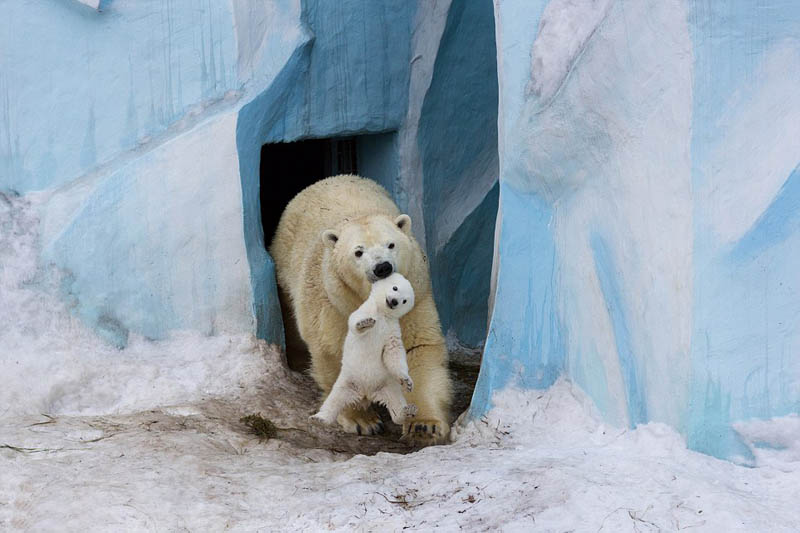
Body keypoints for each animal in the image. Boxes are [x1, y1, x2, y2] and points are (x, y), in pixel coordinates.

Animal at [272, 176, 454, 444]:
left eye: (391, 244)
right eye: (358, 252)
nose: (382, 267)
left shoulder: (416, 297)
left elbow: (416, 347)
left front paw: (424, 425)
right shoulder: (335, 304)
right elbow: (335, 353)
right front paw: (362, 420)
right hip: (285, 268)